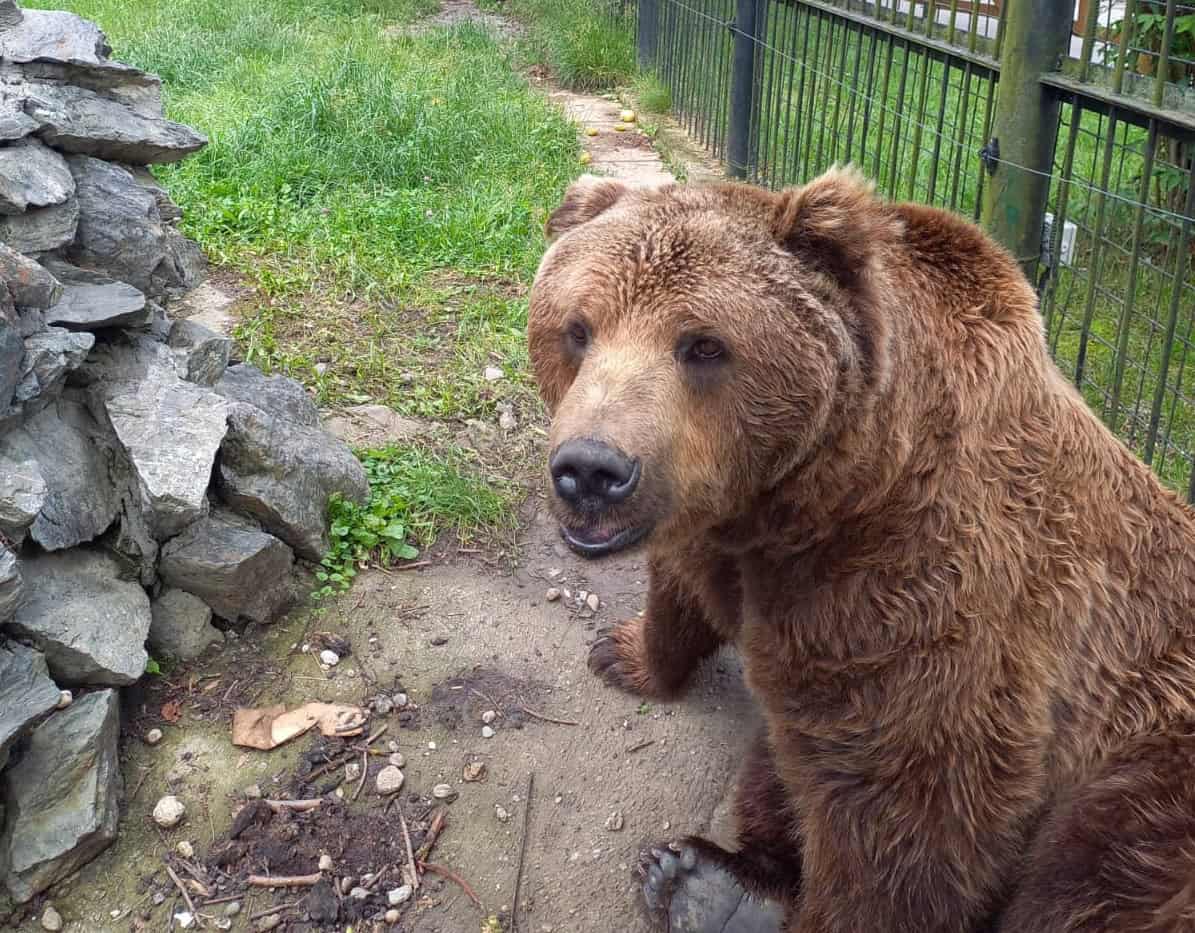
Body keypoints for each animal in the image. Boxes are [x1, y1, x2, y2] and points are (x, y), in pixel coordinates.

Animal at [528, 167, 1195, 931]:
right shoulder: (731, 537)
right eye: (577, 328)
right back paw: (705, 882)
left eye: (703, 344)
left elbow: (904, 819)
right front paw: (624, 652)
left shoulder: (920, 593)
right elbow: (683, 584)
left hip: (1151, 761)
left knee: (1094, 873)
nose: (591, 470)